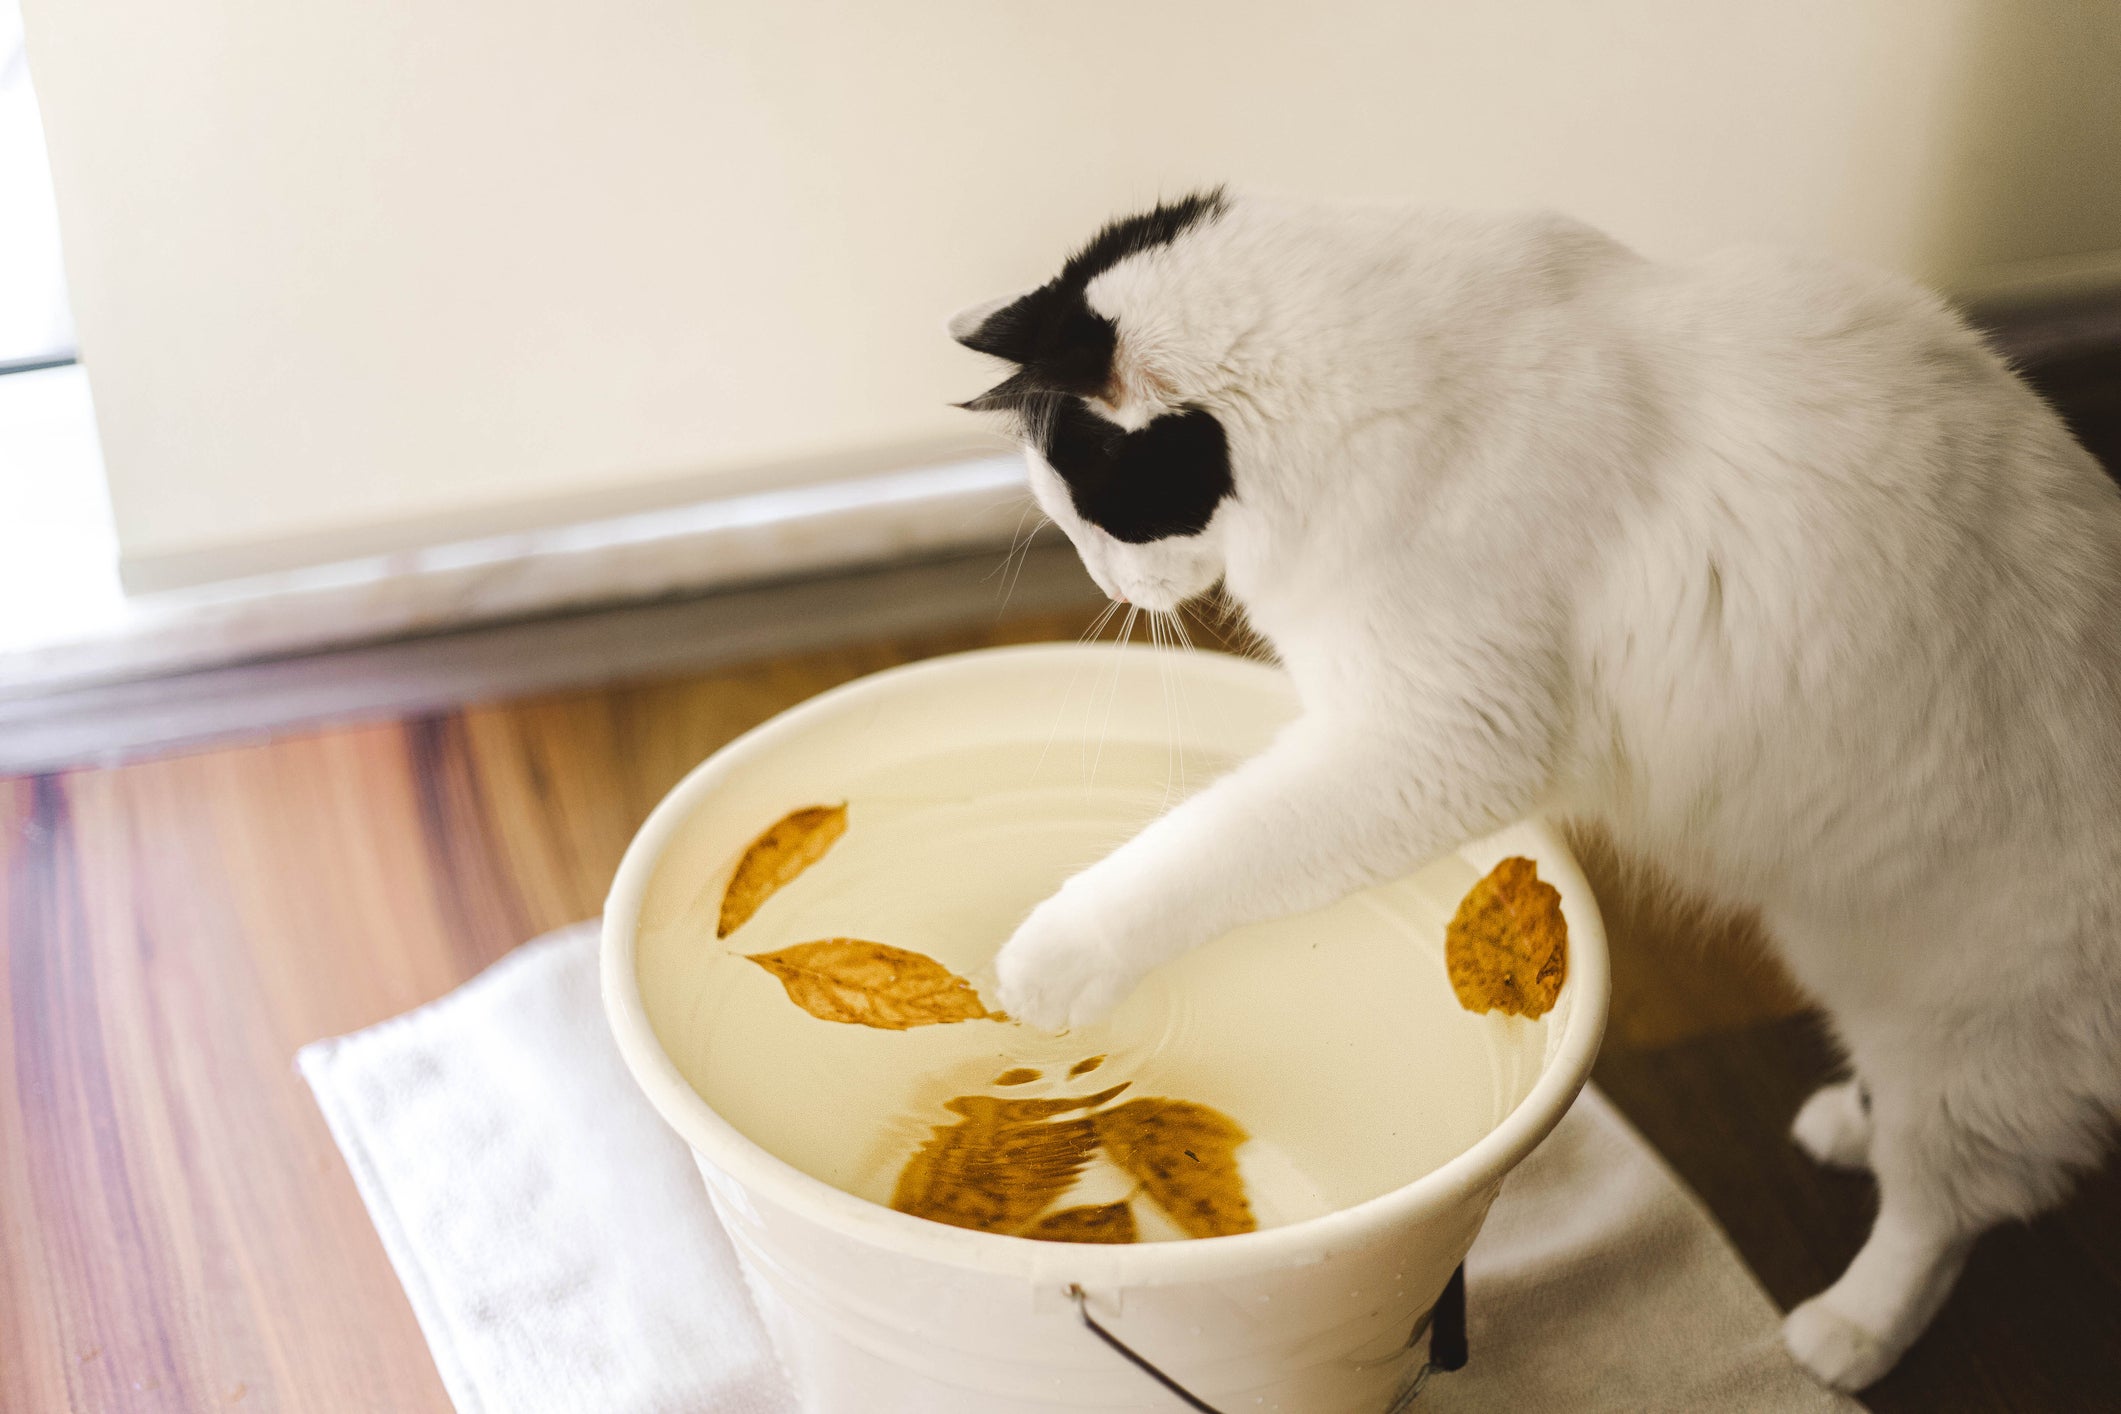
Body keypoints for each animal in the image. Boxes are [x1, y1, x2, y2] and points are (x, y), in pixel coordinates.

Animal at [954, 187, 2121, 1390]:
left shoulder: (1439, 739)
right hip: (1864, 964)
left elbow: (1195, 852)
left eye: (1100, 514)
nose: (1105, 583)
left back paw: (1846, 1331)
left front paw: (1044, 963)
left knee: (1949, 1206)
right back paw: (1848, 1123)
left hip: (1970, 1026)